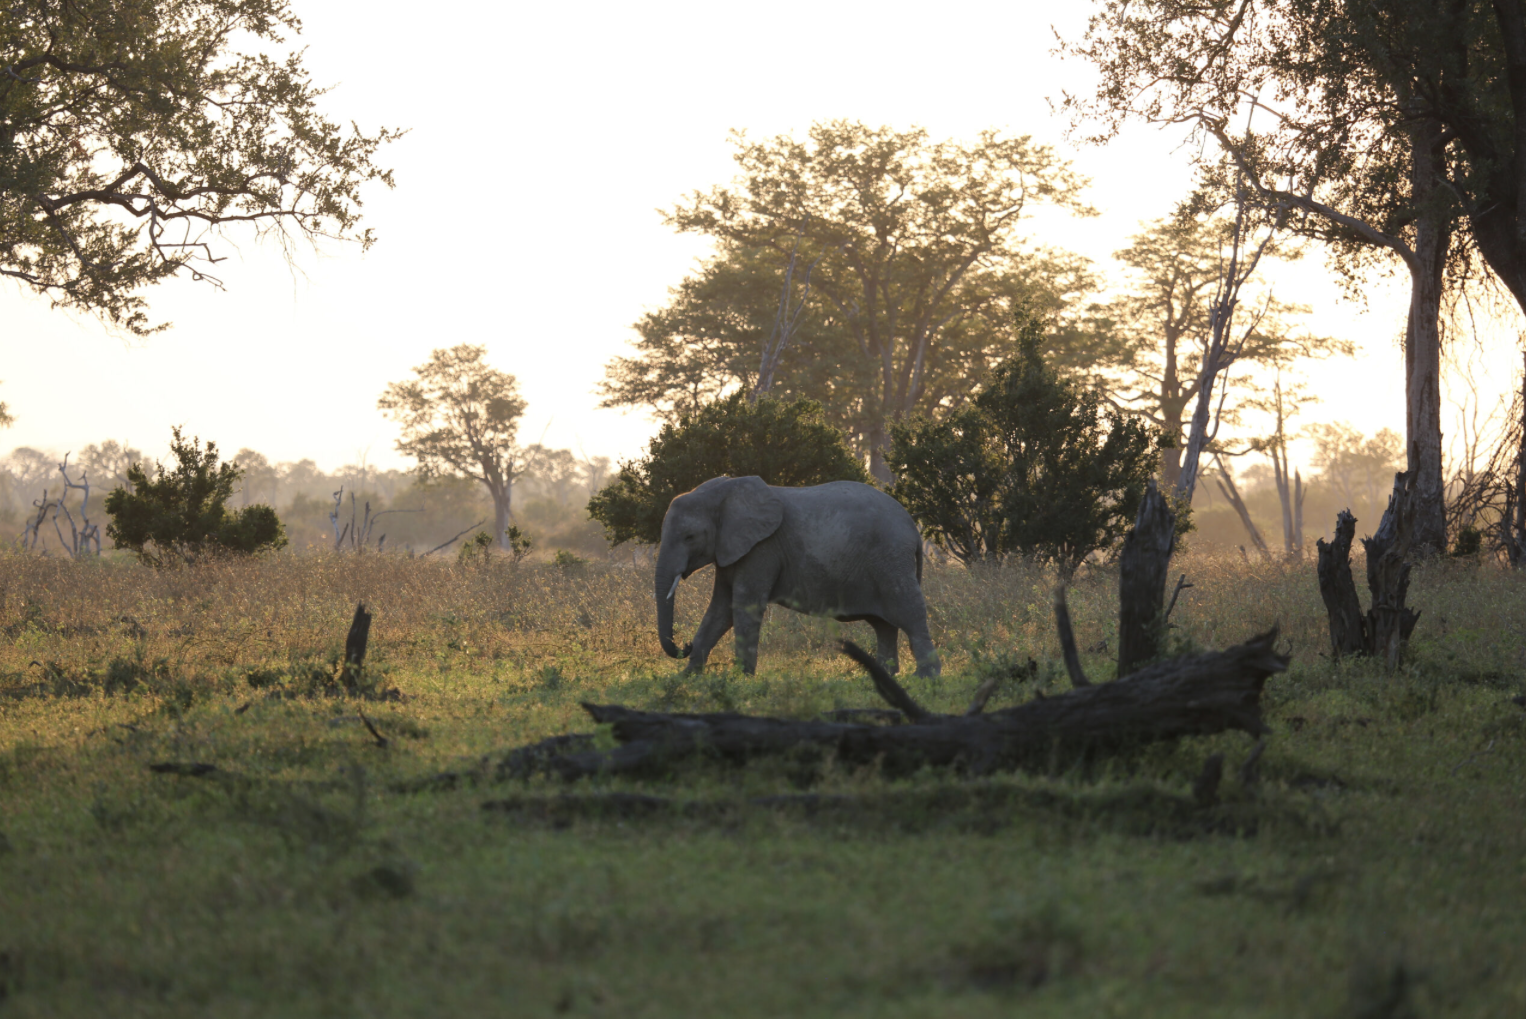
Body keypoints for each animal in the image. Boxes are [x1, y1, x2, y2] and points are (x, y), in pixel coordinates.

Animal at [655, 475, 940, 677]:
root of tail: (913, 528)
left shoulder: (762, 548)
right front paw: (686, 678)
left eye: (689, 537)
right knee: (884, 624)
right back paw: (884, 676)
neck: (723, 490)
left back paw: (924, 678)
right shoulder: (731, 549)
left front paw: (741, 678)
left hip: (891, 558)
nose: (685, 644)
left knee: (908, 612)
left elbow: (745, 605)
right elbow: (720, 609)